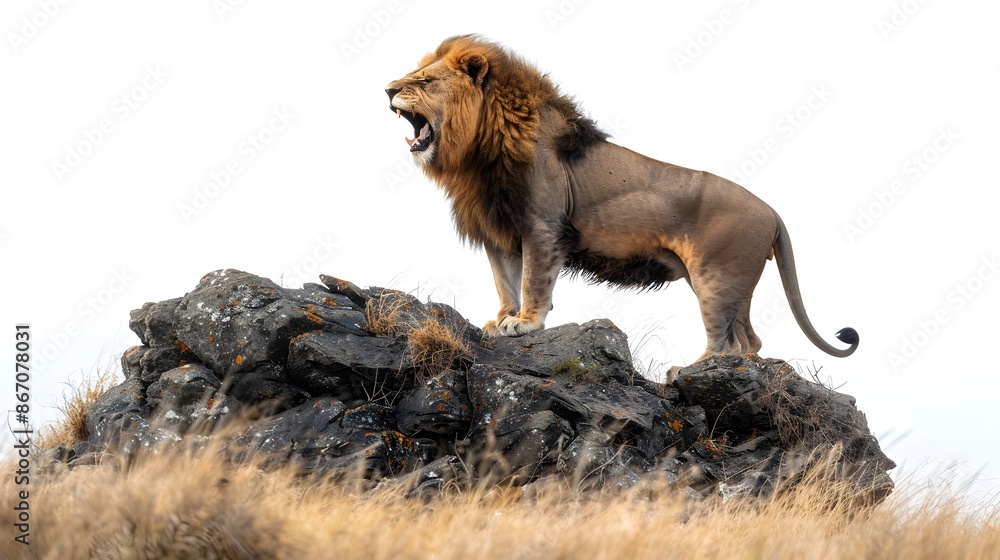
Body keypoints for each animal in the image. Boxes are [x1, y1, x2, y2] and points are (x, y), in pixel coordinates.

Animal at [384, 36, 860, 368]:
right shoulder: (499, 232)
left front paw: (526, 323)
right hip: (729, 281)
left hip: (717, 277)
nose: (387, 90)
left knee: (724, 338)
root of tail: (774, 212)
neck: (476, 153)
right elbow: (505, 281)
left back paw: (689, 371)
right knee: (748, 340)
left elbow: (534, 281)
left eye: (424, 81)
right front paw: (500, 320)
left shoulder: (543, 226)